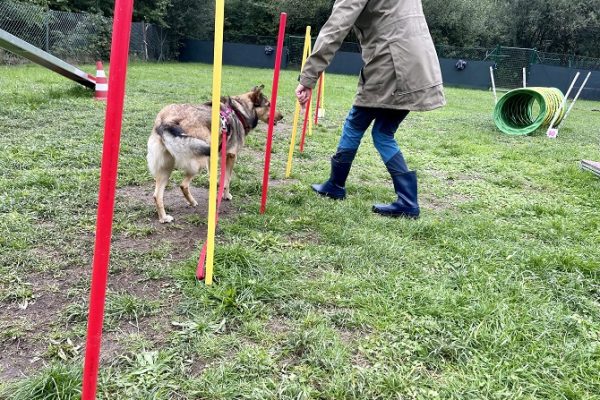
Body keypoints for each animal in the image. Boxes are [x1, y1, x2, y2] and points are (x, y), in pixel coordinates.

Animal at [147, 85, 284, 223]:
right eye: (268, 104)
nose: (282, 116)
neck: (239, 111)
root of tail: (167, 121)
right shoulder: (231, 155)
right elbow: (227, 180)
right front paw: (226, 195)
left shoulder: (213, 159)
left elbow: (215, 178)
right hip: (197, 161)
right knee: (183, 185)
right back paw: (191, 203)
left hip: (166, 167)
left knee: (157, 195)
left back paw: (164, 217)